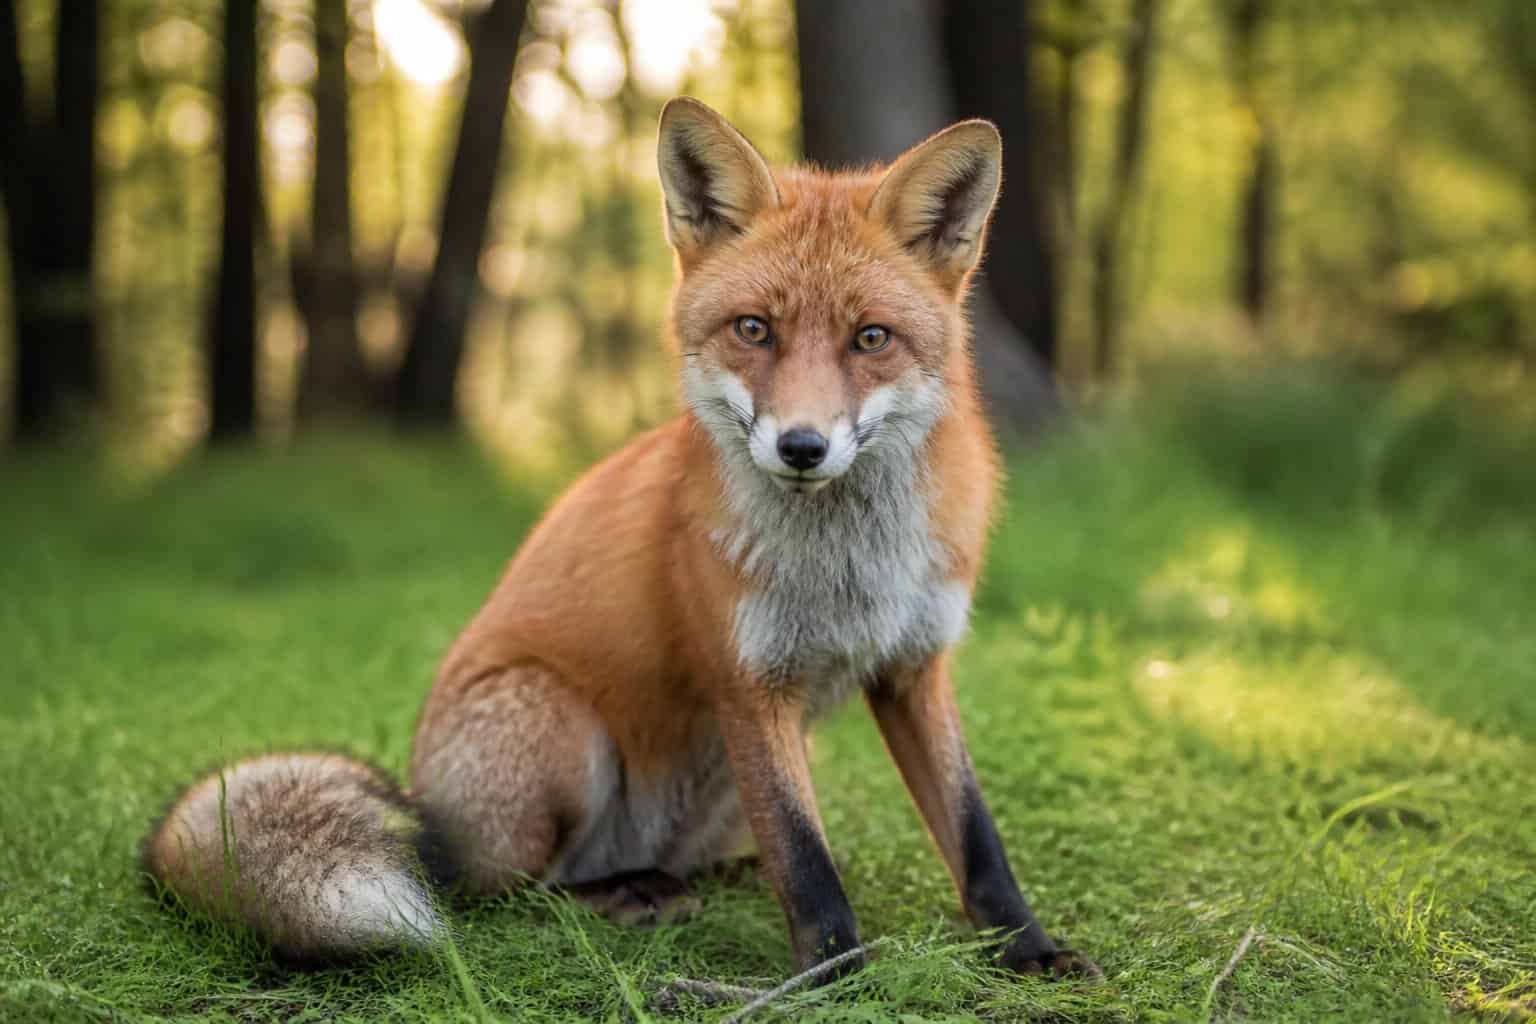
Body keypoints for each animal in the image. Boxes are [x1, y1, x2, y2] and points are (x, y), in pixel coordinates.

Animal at [143, 98, 1098, 981]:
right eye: (754, 329)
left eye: (871, 338)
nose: (801, 447)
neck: (852, 569)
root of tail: (423, 811)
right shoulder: (751, 684)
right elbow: (807, 863)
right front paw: (833, 979)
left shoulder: (913, 668)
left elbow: (975, 837)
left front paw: (1030, 950)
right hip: (558, 726)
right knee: (510, 892)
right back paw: (622, 891)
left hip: (736, 774)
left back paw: (706, 876)